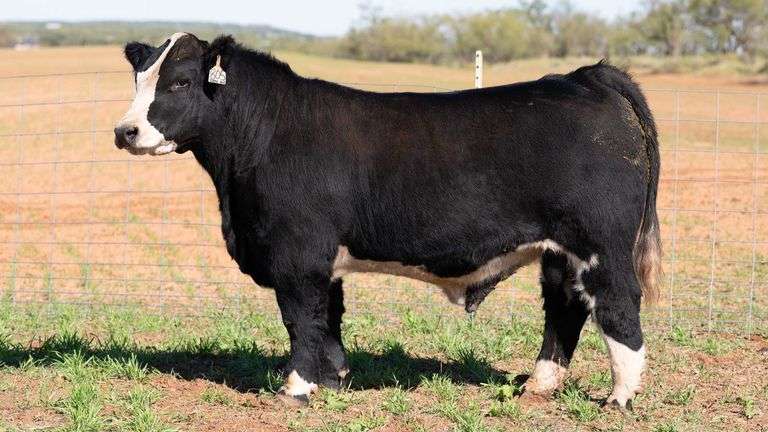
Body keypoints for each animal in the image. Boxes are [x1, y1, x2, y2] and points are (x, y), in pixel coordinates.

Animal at [114, 33, 661, 409]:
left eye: (181, 81)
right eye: (138, 80)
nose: (126, 131)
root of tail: (583, 76)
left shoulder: (297, 255)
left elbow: (301, 320)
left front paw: (296, 389)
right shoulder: (324, 259)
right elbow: (329, 320)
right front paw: (334, 380)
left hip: (601, 245)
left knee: (618, 307)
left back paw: (620, 397)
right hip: (558, 252)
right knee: (565, 308)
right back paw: (539, 385)